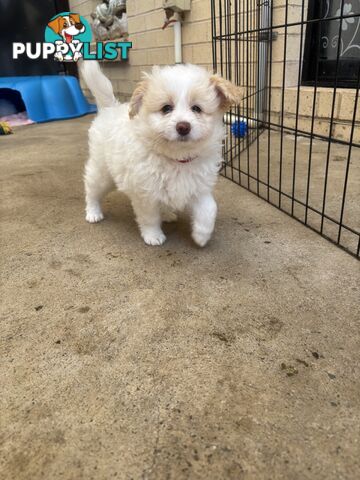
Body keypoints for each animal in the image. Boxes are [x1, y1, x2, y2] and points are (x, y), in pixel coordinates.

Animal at [80, 61, 240, 246]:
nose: (183, 127)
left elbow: (209, 209)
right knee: (92, 190)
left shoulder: (199, 188)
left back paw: (167, 214)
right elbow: (149, 218)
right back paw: (93, 212)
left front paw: (202, 236)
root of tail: (109, 108)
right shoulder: (145, 194)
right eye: (166, 108)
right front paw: (153, 236)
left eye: (197, 108)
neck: (178, 158)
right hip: (102, 173)